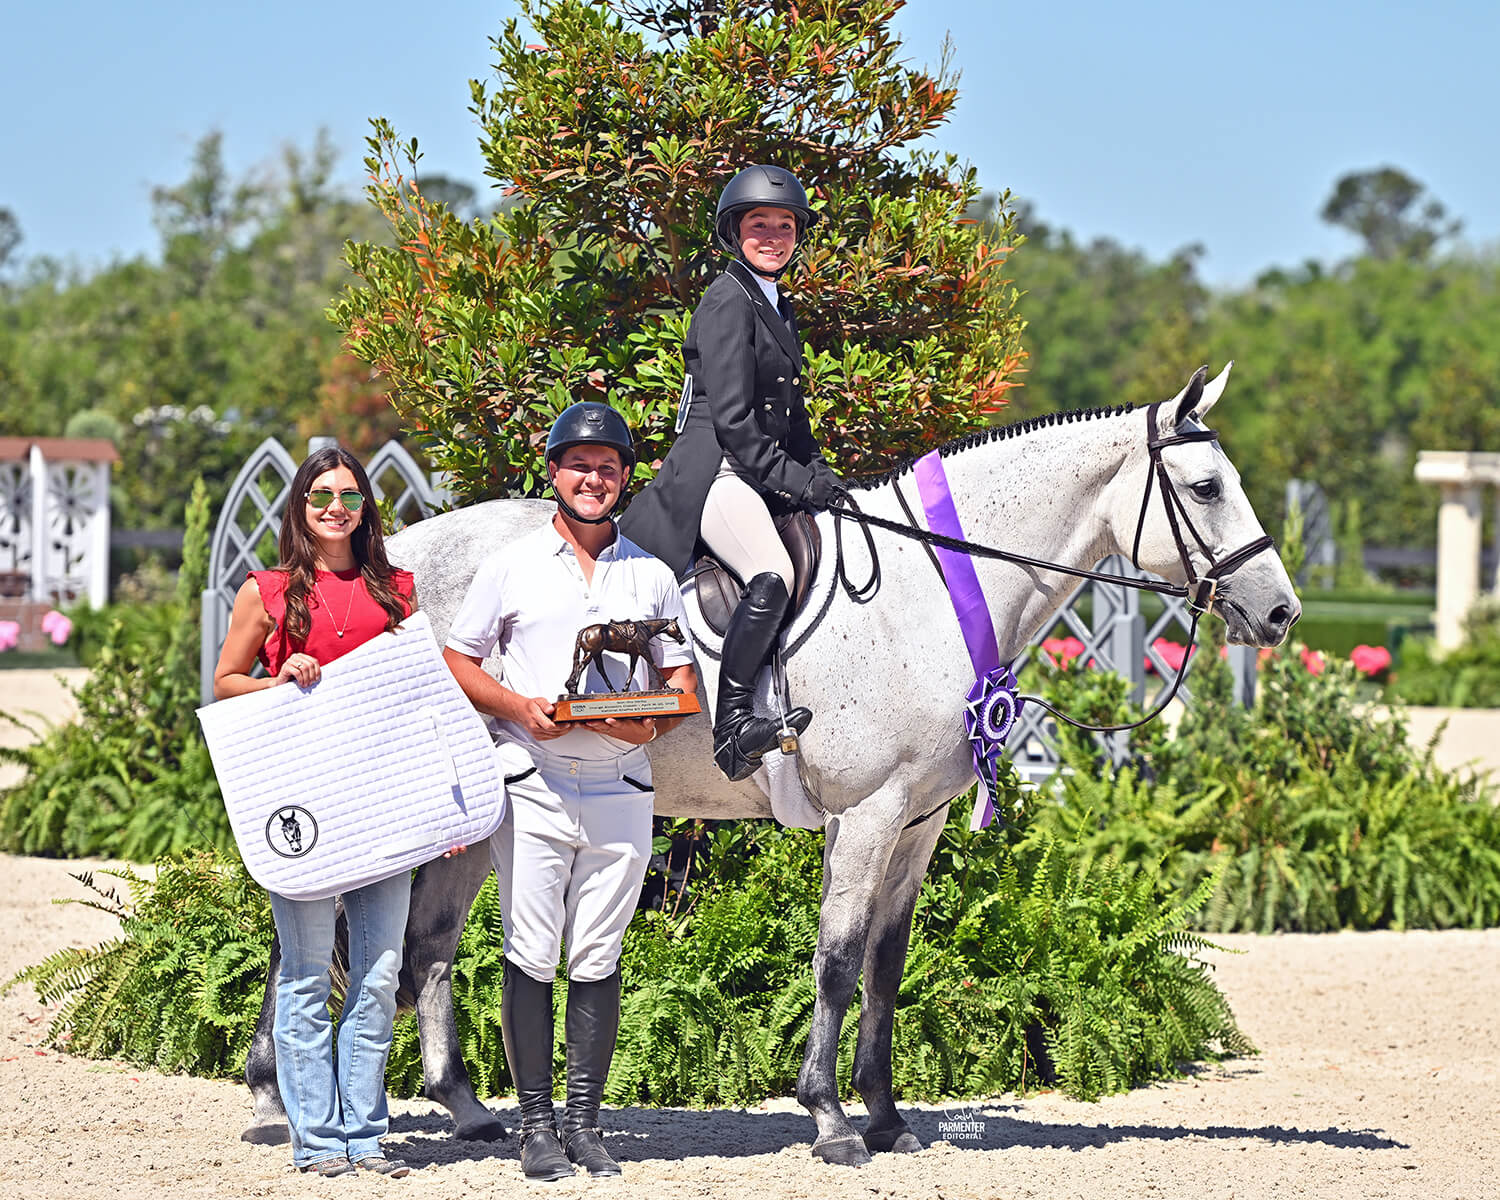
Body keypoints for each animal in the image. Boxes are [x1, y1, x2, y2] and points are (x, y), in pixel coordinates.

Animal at [241, 365, 1300, 1165]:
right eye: (1206, 489)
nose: (1282, 612)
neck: (936, 585)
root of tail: (384, 556)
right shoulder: (869, 814)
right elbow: (835, 960)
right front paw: (831, 1119)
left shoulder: (918, 823)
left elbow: (885, 966)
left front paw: (889, 1118)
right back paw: (276, 1102)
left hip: (479, 815)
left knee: (425, 948)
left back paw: (465, 1112)